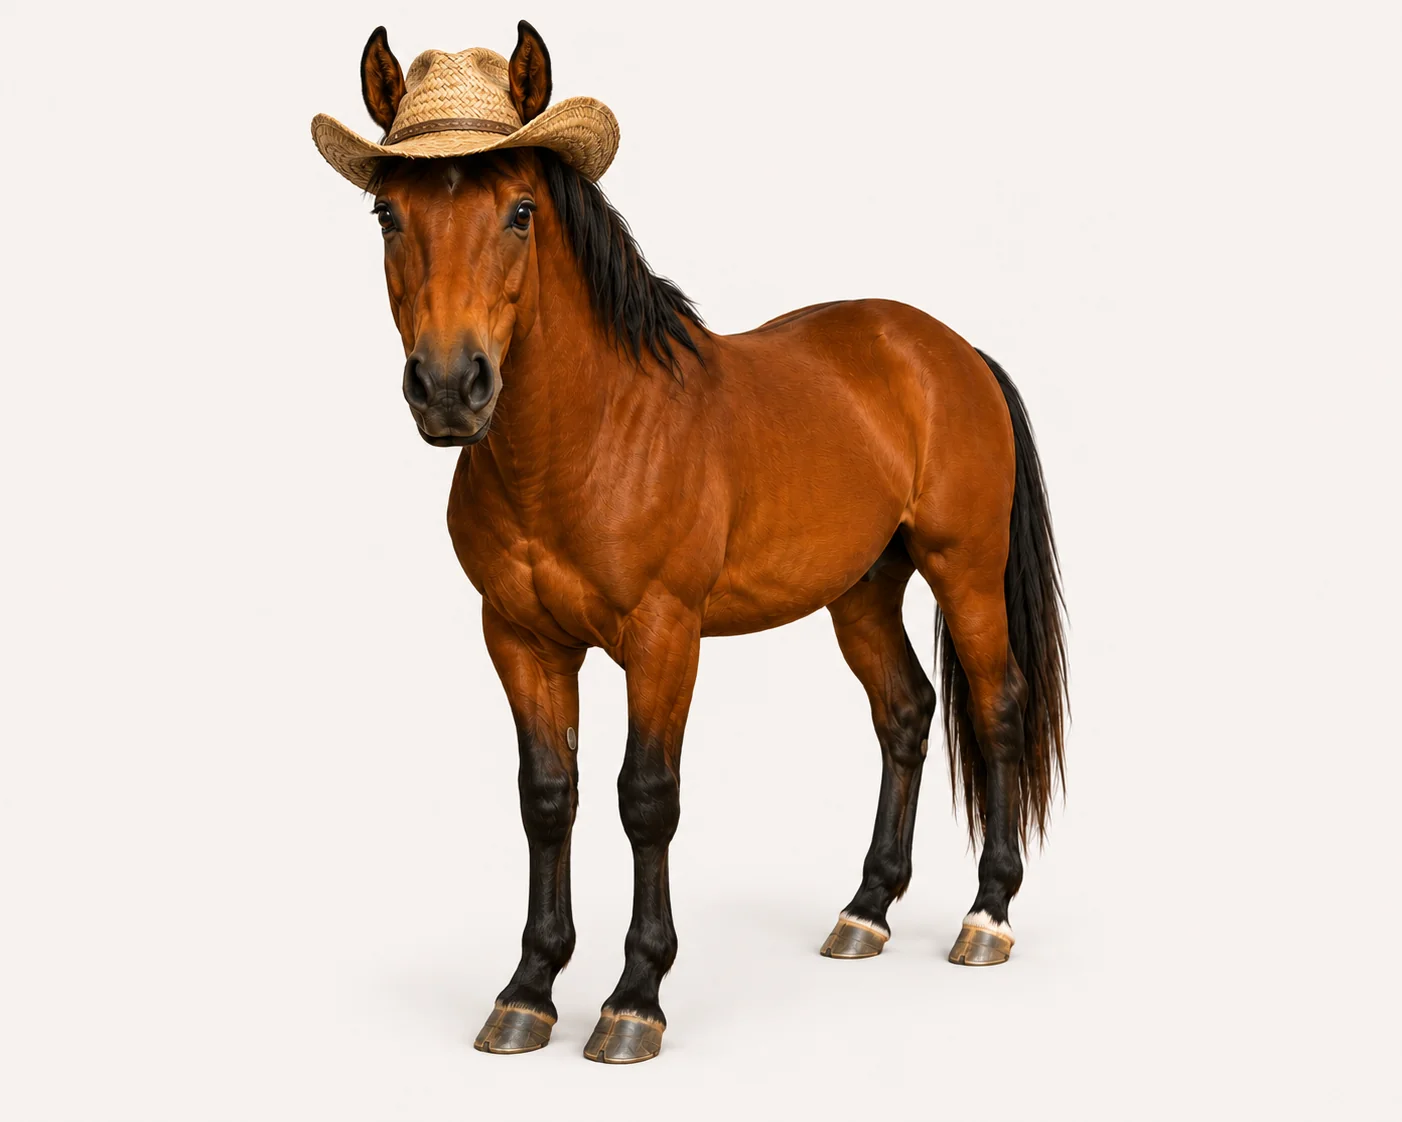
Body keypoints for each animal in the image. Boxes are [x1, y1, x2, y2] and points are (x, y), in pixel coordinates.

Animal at [332, 24, 1066, 1064]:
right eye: (386, 214)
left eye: (520, 210)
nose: (447, 387)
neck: (590, 436)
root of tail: (948, 350)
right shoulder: (518, 639)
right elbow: (546, 797)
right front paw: (528, 992)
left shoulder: (663, 637)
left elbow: (648, 797)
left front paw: (634, 999)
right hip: (860, 590)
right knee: (906, 713)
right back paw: (865, 911)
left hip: (963, 571)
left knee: (998, 710)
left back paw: (987, 917)